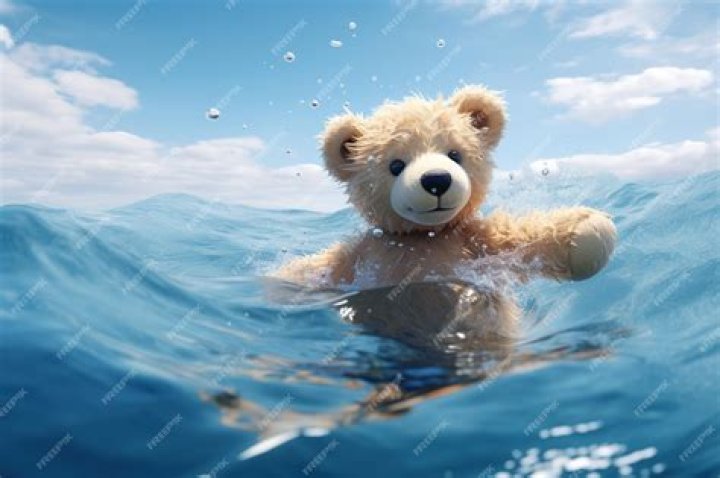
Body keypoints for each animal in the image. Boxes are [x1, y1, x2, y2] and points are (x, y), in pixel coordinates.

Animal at [273, 85, 616, 349]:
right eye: (395, 165)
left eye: (455, 155)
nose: (436, 179)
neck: (425, 236)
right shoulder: (364, 254)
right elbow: (317, 270)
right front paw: (278, 280)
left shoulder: (477, 240)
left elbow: (524, 240)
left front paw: (589, 231)